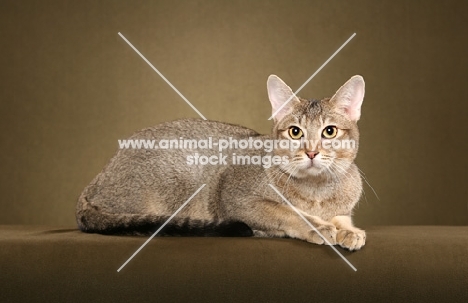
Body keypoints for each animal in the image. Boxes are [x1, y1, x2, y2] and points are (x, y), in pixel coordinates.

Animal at [77, 75, 368, 252]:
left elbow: (342, 218)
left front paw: (349, 232)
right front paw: (319, 227)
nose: (311, 152)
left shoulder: (342, 208)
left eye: (329, 132)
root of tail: (96, 180)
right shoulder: (237, 198)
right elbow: (288, 212)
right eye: (295, 132)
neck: (317, 192)